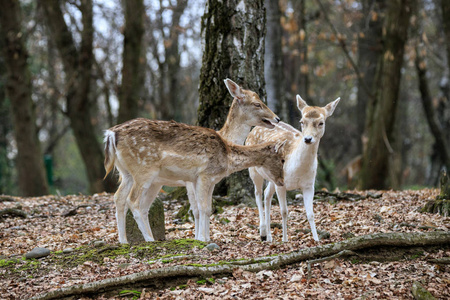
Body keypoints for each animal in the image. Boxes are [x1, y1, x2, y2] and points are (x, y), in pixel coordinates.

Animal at [103, 78, 284, 243]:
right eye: (257, 104)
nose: (277, 118)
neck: (227, 141)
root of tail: (111, 134)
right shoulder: (194, 179)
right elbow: (198, 209)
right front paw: (201, 238)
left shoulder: (202, 180)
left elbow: (205, 208)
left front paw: (204, 237)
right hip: (144, 170)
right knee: (133, 201)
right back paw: (149, 239)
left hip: (129, 173)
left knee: (121, 198)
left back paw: (124, 241)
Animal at [248, 95, 340, 243]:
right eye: (302, 121)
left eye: (321, 123)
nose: (307, 139)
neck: (297, 170)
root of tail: (254, 128)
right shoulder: (281, 184)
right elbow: (284, 211)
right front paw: (285, 240)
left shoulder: (309, 185)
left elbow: (311, 214)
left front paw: (317, 240)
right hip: (253, 170)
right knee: (258, 194)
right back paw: (263, 233)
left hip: (272, 178)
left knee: (267, 194)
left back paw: (269, 236)